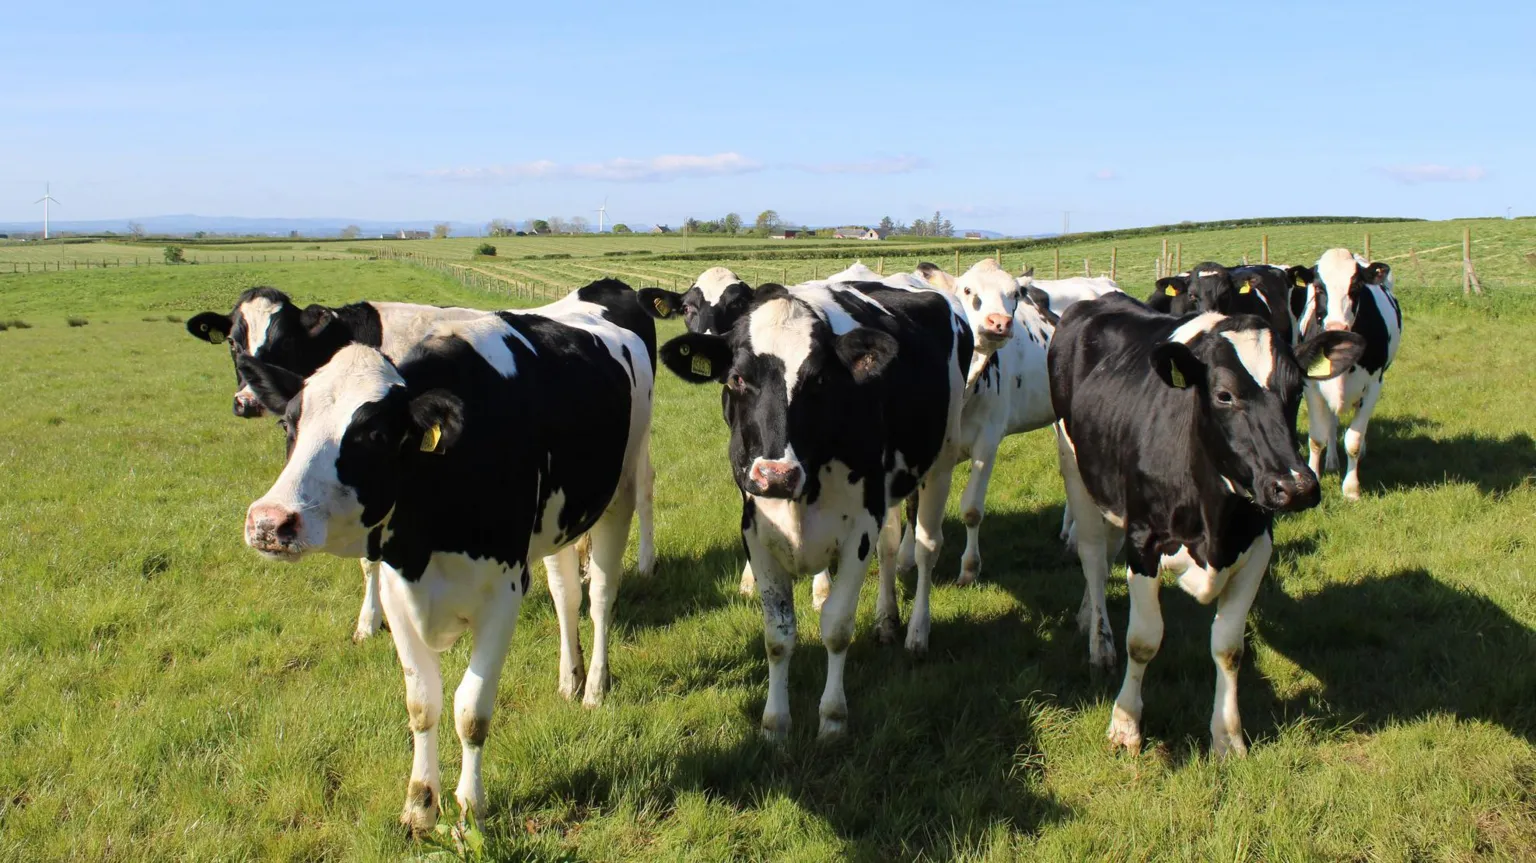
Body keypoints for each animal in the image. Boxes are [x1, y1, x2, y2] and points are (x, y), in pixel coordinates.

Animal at [187, 287, 658, 641]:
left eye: (283, 341)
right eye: (232, 341)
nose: (246, 402)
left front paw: (369, 621)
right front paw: (373, 619)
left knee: (644, 491)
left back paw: (644, 562)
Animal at [237, 279, 656, 835]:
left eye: (373, 433)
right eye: (289, 424)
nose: (269, 521)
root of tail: (603, 289)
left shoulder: (502, 593)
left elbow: (471, 710)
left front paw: (470, 808)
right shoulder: (398, 587)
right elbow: (423, 704)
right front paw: (419, 805)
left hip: (619, 490)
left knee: (603, 594)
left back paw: (594, 688)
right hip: (558, 518)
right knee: (567, 594)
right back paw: (570, 679)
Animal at [655, 278, 971, 741]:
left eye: (819, 379)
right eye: (737, 378)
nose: (776, 474)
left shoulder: (859, 527)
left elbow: (836, 629)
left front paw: (833, 719)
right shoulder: (756, 530)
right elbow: (778, 635)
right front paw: (774, 724)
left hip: (941, 462)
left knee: (928, 548)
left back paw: (917, 633)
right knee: (891, 548)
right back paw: (887, 621)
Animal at [1048, 292, 1365, 756]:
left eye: (1296, 391)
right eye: (1224, 395)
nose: (1295, 486)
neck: (1216, 520)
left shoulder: (1256, 547)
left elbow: (1229, 648)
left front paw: (1228, 738)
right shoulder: (1145, 541)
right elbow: (1143, 640)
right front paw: (1126, 725)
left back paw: (1089, 617)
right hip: (1075, 466)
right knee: (1093, 557)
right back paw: (1099, 642)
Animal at [1287, 248, 1402, 500]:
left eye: (1356, 287)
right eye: (1319, 288)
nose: (1336, 327)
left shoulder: (1373, 385)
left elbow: (1354, 440)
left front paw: (1351, 489)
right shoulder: (1311, 386)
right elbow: (1317, 437)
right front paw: (1315, 475)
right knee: (1331, 423)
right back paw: (1331, 462)